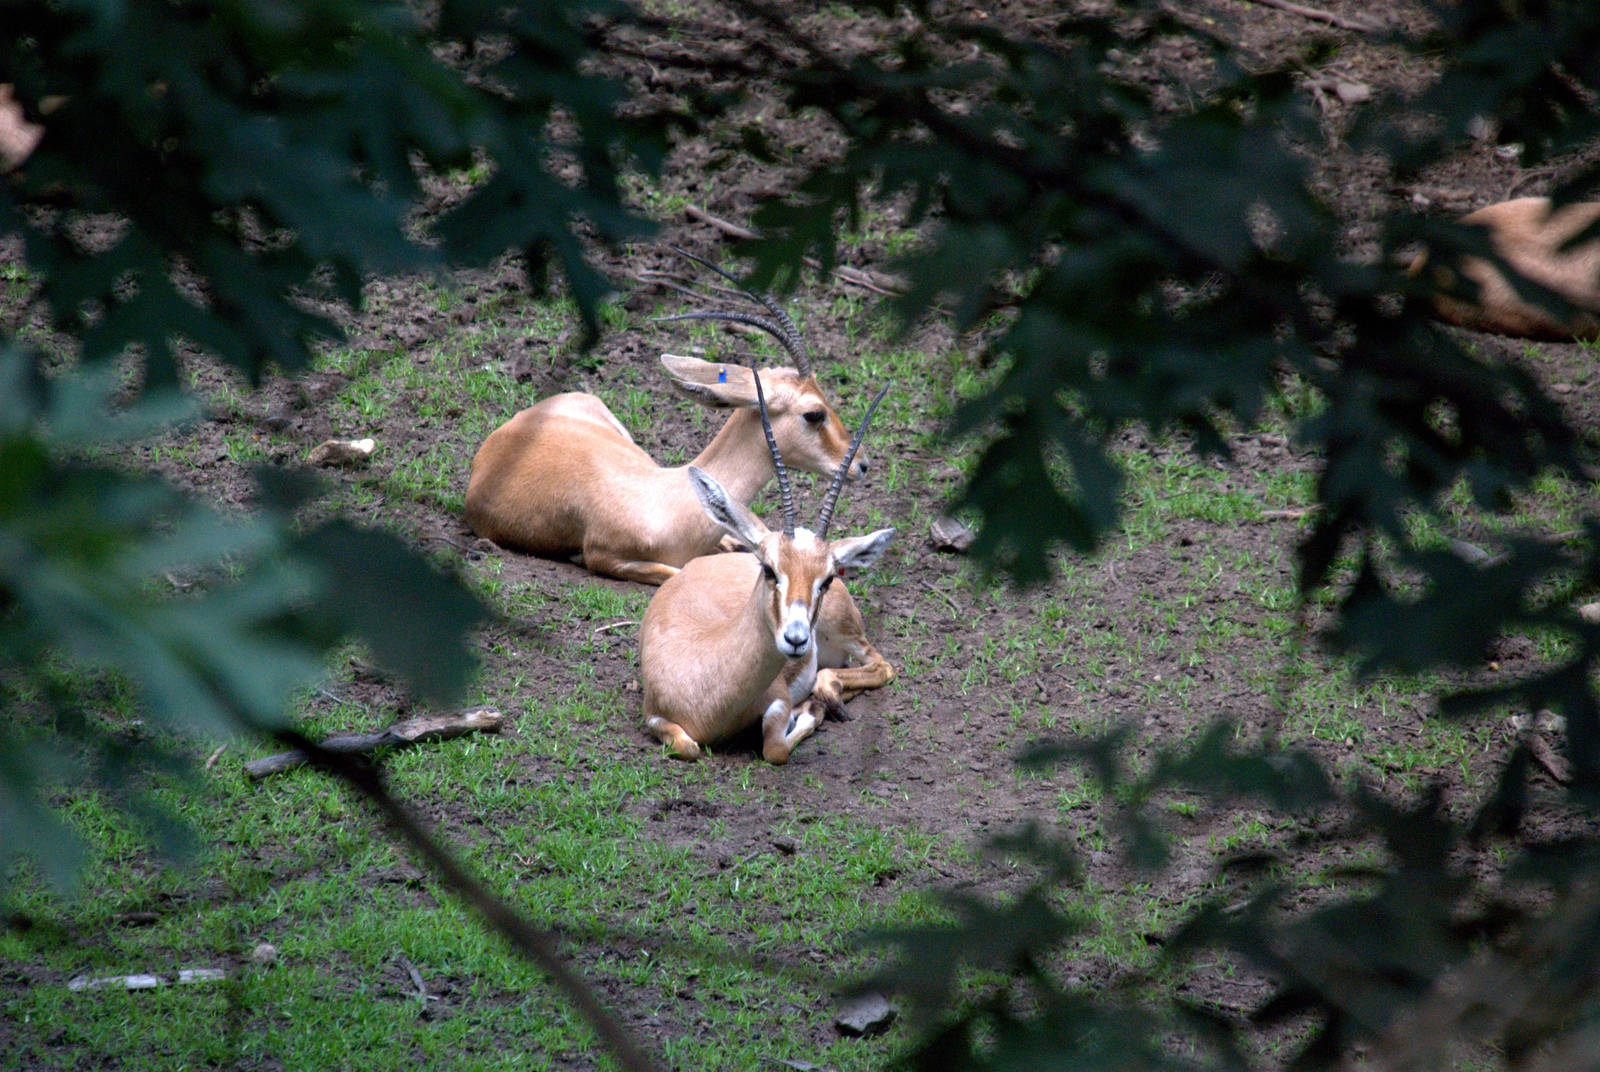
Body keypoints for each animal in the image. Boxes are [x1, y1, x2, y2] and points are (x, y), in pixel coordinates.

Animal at [640, 373, 895, 763]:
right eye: (770, 569)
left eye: (826, 579)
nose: (797, 639)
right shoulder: (654, 716)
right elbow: (688, 746)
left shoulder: (777, 700)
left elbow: (775, 748)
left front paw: (809, 712)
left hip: (845, 631)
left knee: (879, 665)